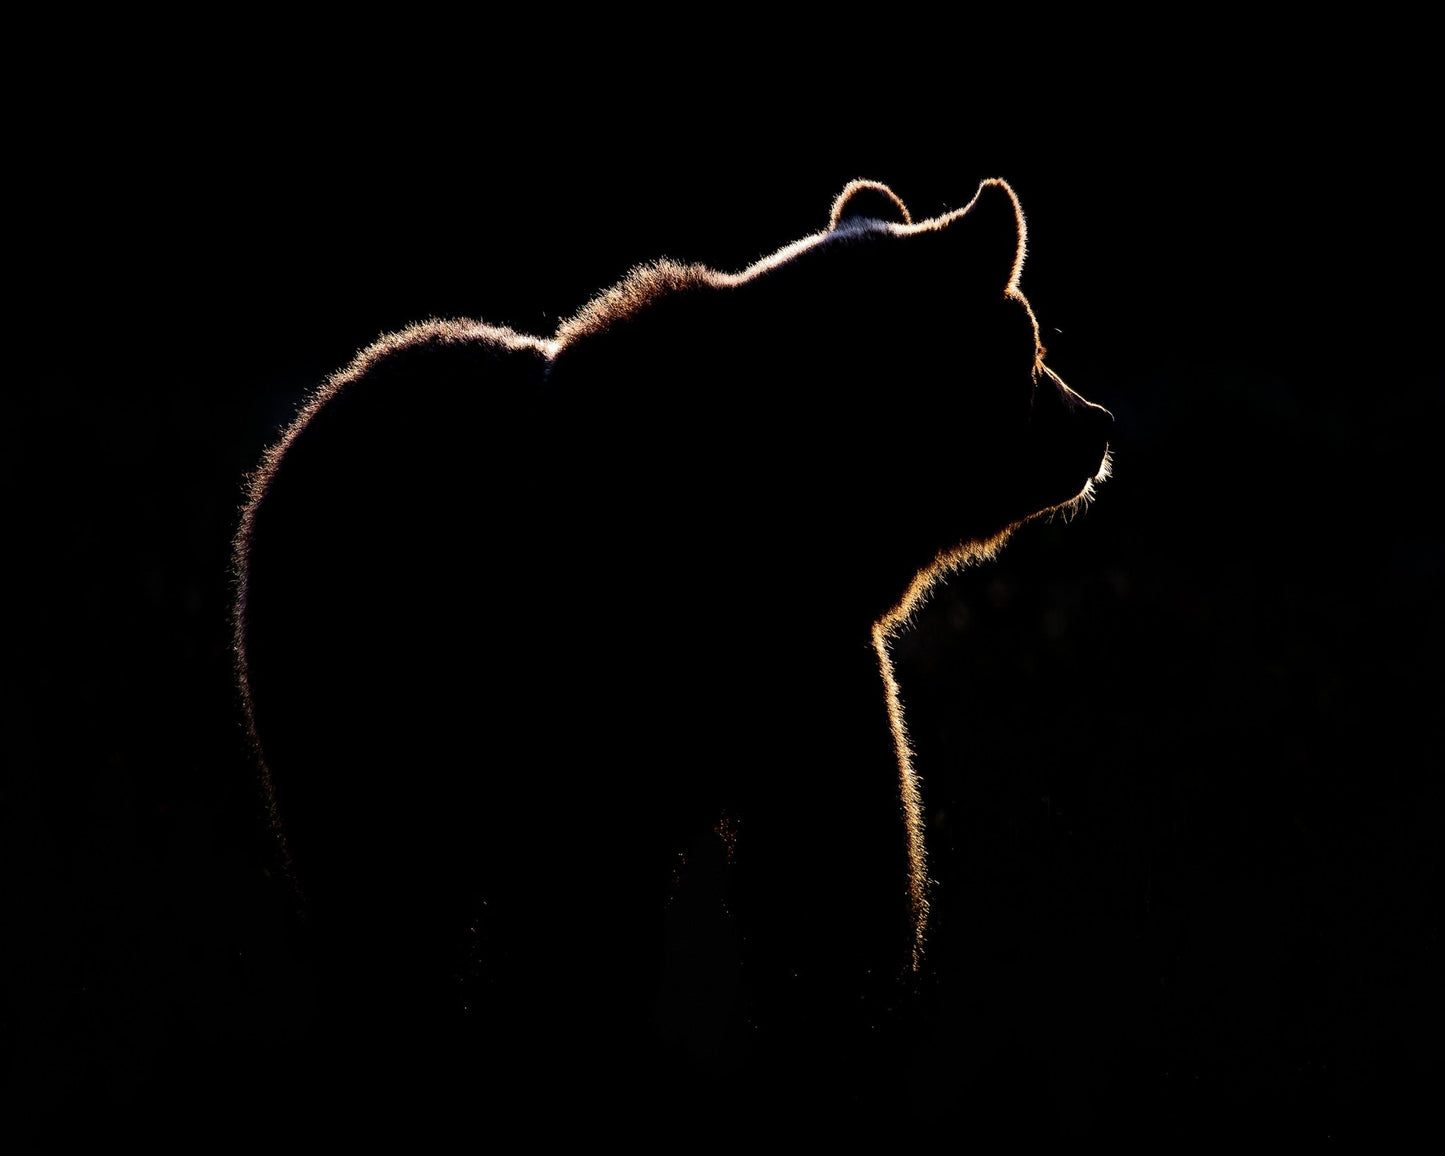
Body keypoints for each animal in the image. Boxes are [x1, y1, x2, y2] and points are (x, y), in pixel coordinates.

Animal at [232, 177, 1112, 1105]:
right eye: (1033, 341)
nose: (1095, 421)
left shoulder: (807, 670)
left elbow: (830, 874)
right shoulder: (611, 686)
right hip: (348, 700)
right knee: (383, 899)